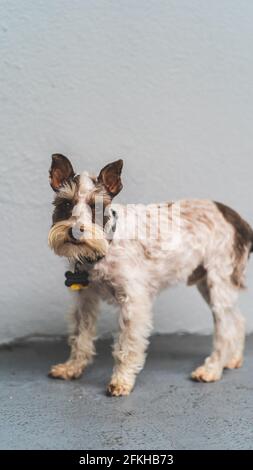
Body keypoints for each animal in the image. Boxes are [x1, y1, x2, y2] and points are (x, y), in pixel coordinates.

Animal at [48, 155, 253, 396]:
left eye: (97, 207)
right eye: (66, 204)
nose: (74, 231)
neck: (107, 245)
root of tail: (239, 221)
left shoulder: (133, 303)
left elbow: (126, 346)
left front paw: (121, 380)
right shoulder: (85, 300)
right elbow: (80, 336)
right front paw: (72, 368)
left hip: (218, 284)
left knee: (225, 329)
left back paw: (211, 369)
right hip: (211, 286)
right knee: (238, 320)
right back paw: (233, 359)